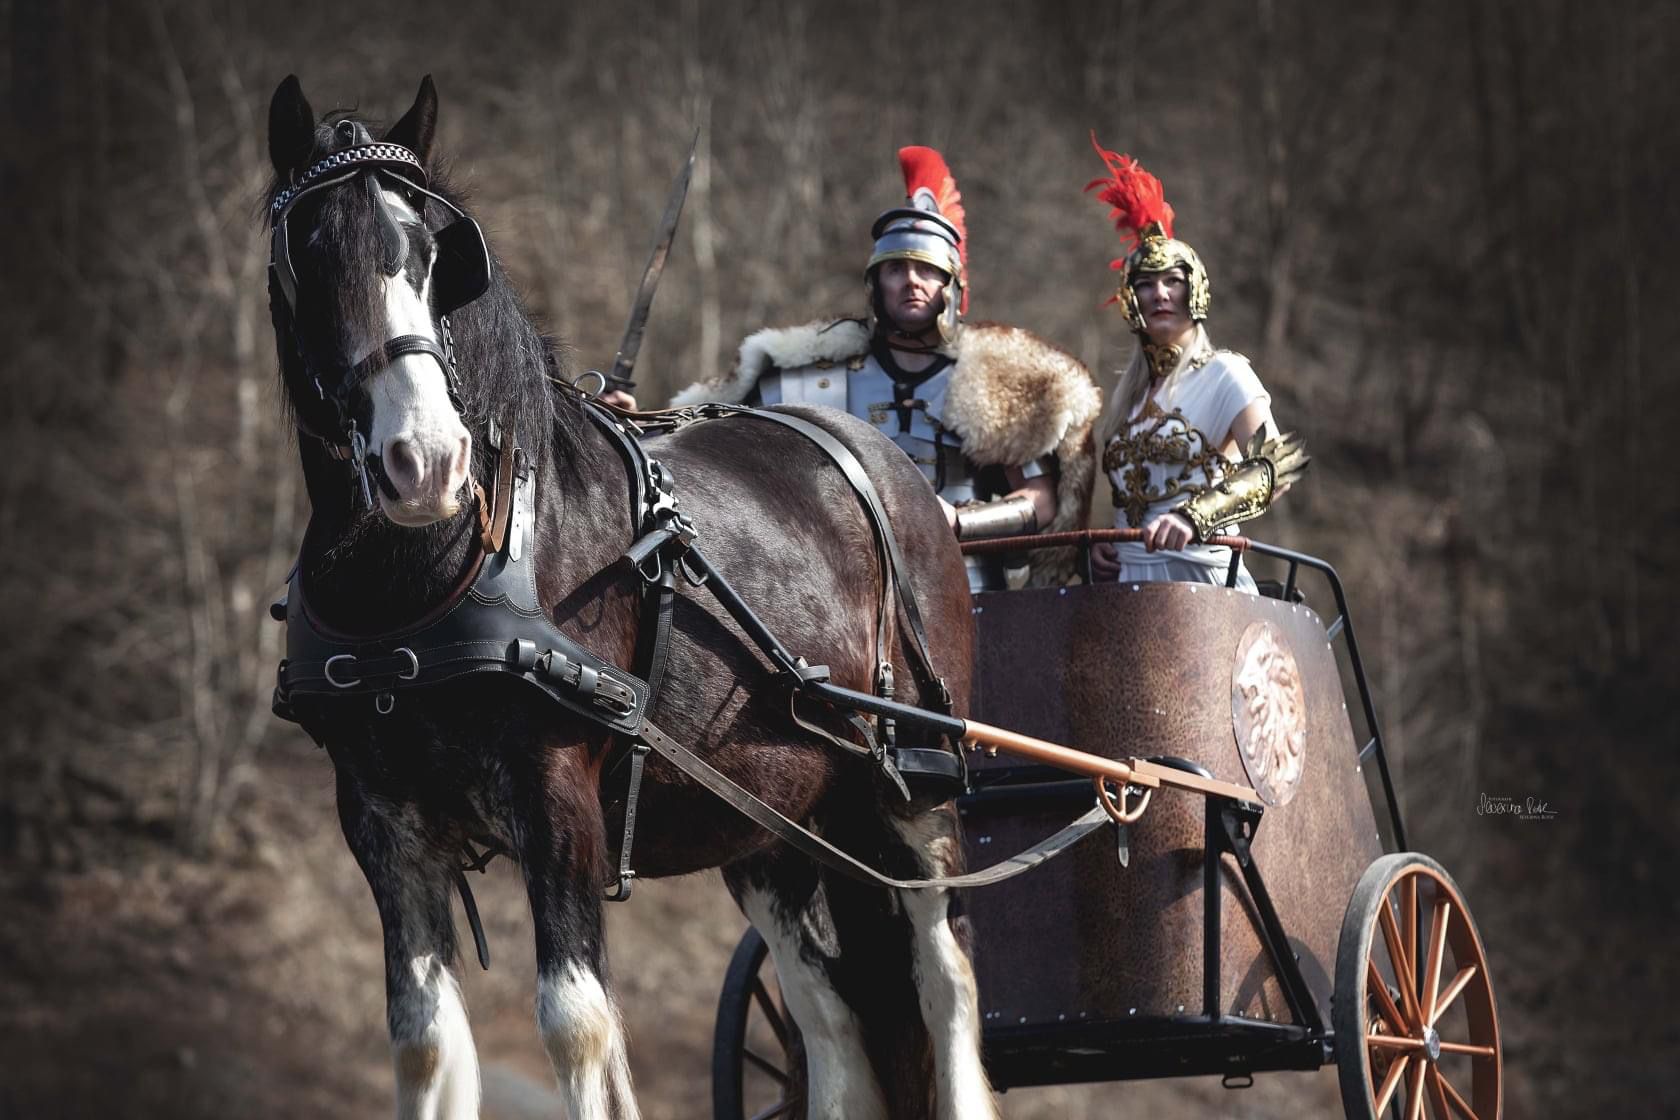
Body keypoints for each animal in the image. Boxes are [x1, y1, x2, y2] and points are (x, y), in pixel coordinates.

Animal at [263, 74, 997, 1120]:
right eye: (312, 253)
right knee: (834, 1021)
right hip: (770, 823)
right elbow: (424, 1045)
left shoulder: (559, 801)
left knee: (945, 977)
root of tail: (892, 470)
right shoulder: (381, 824)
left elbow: (577, 1030)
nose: (426, 461)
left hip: (915, 792)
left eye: (437, 256)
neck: (439, 572)